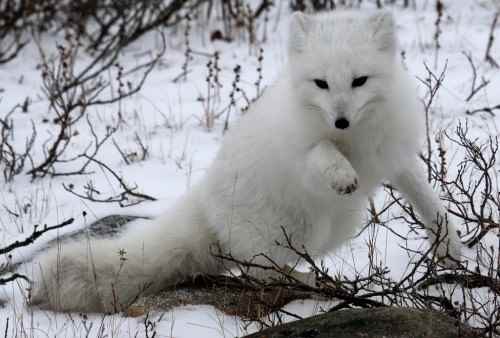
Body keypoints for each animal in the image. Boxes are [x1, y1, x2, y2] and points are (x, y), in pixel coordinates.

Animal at [30, 10, 460, 312]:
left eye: (360, 81)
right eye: (321, 83)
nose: (340, 119)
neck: (355, 139)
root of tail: (204, 201)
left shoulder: (394, 157)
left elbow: (428, 201)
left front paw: (450, 250)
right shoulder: (303, 156)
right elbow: (321, 153)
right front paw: (341, 175)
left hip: (334, 227)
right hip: (291, 231)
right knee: (257, 270)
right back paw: (306, 279)